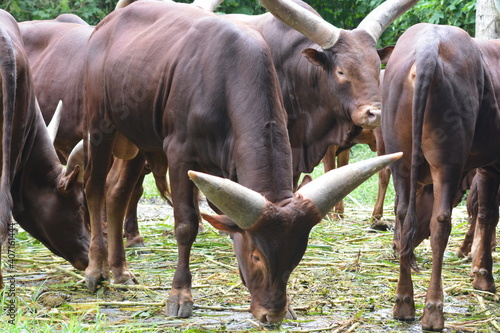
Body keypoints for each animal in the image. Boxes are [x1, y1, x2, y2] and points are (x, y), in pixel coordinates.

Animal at [82, 0, 402, 322]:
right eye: (340, 71)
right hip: (100, 126)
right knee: (95, 189)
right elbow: (186, 225)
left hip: (138, 136)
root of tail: (108, 23)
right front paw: (180, 295)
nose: (271, 315)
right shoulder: (179, 154)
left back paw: (120, 271)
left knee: (117, 192)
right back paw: (96, 270)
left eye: (296, 258)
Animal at [382, 23, 500, 330]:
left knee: (402, 213)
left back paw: (404, 302)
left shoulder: (487, 166)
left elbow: (484, 214)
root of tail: (428, 45)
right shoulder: (493, 166)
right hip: (447, 160)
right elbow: (488, 215)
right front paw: (484, 276)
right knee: (441, 224)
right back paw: (434, 310)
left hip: (400, 157)